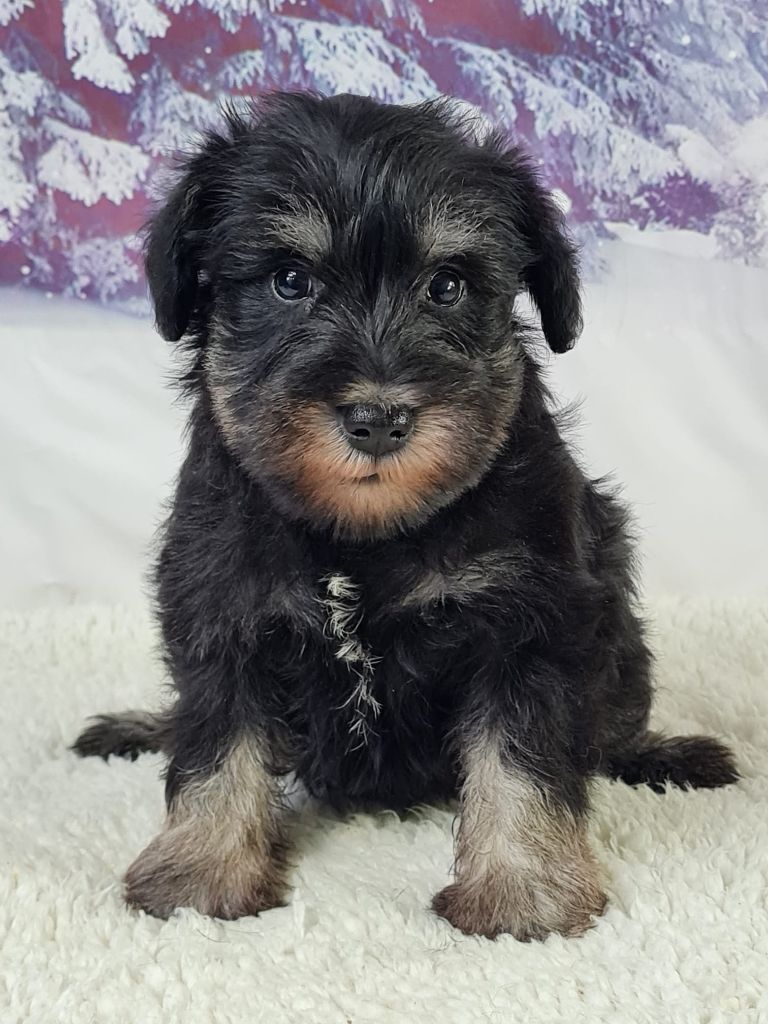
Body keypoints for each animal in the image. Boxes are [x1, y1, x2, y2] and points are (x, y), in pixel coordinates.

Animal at [73, 92, 737, 941]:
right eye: (289, 280)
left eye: (447, 285)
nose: (379, 419)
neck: (363, 534)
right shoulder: (224, 614)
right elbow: (216, 746)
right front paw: (201, 869)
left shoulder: (529, 623)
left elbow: (522, 759)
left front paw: (523, 887)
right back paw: (139, 726)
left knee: (612, 725)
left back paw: (668, 754)